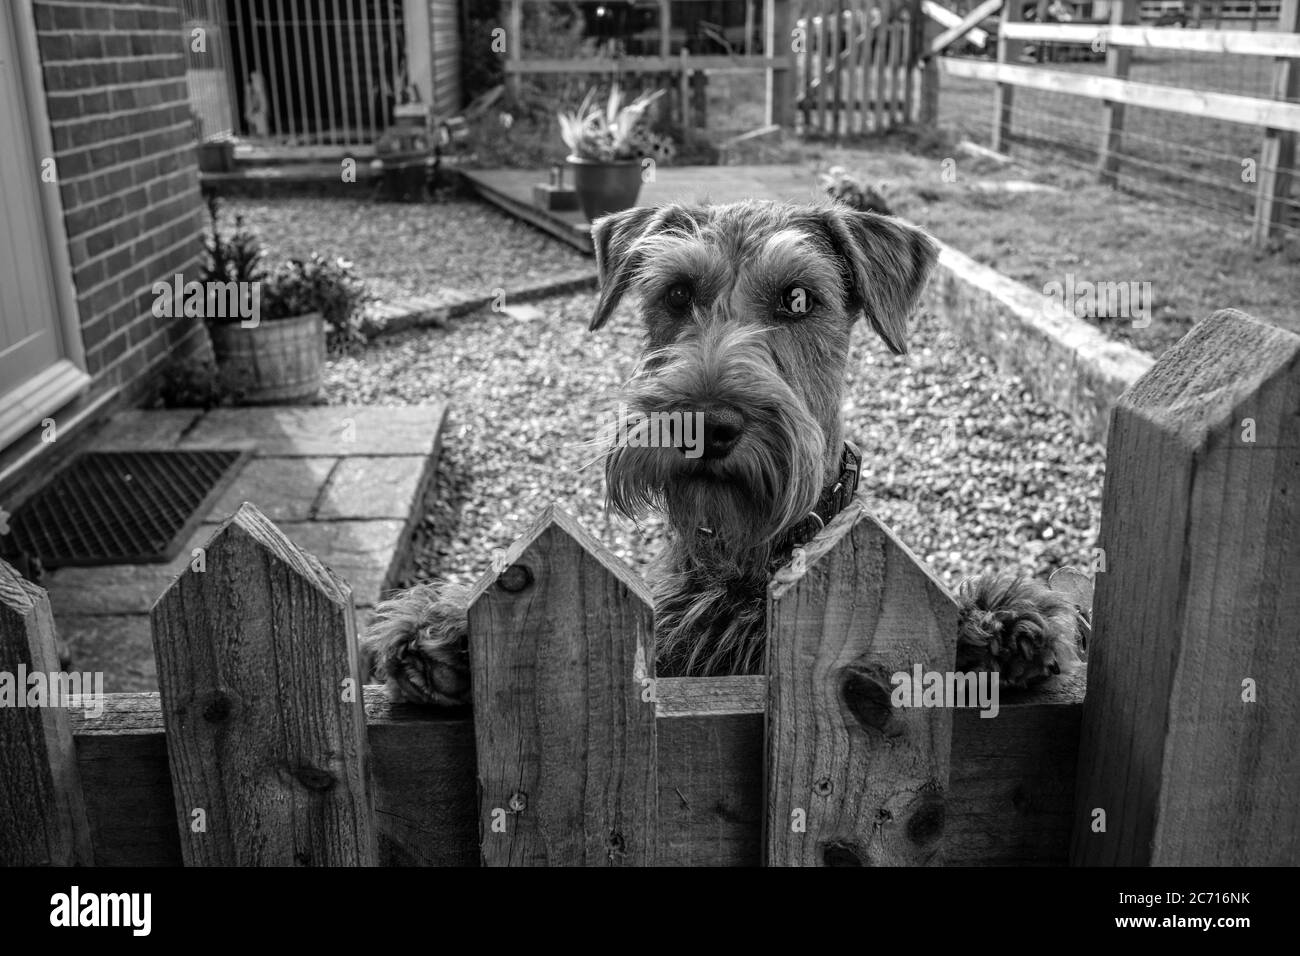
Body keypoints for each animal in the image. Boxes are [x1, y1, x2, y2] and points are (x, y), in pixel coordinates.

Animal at [361, 200, 1081, 712]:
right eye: (677, 293)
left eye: (798, 299)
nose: (704, 424)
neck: (748, 560)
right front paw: (443, 634)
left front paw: (995, 623)